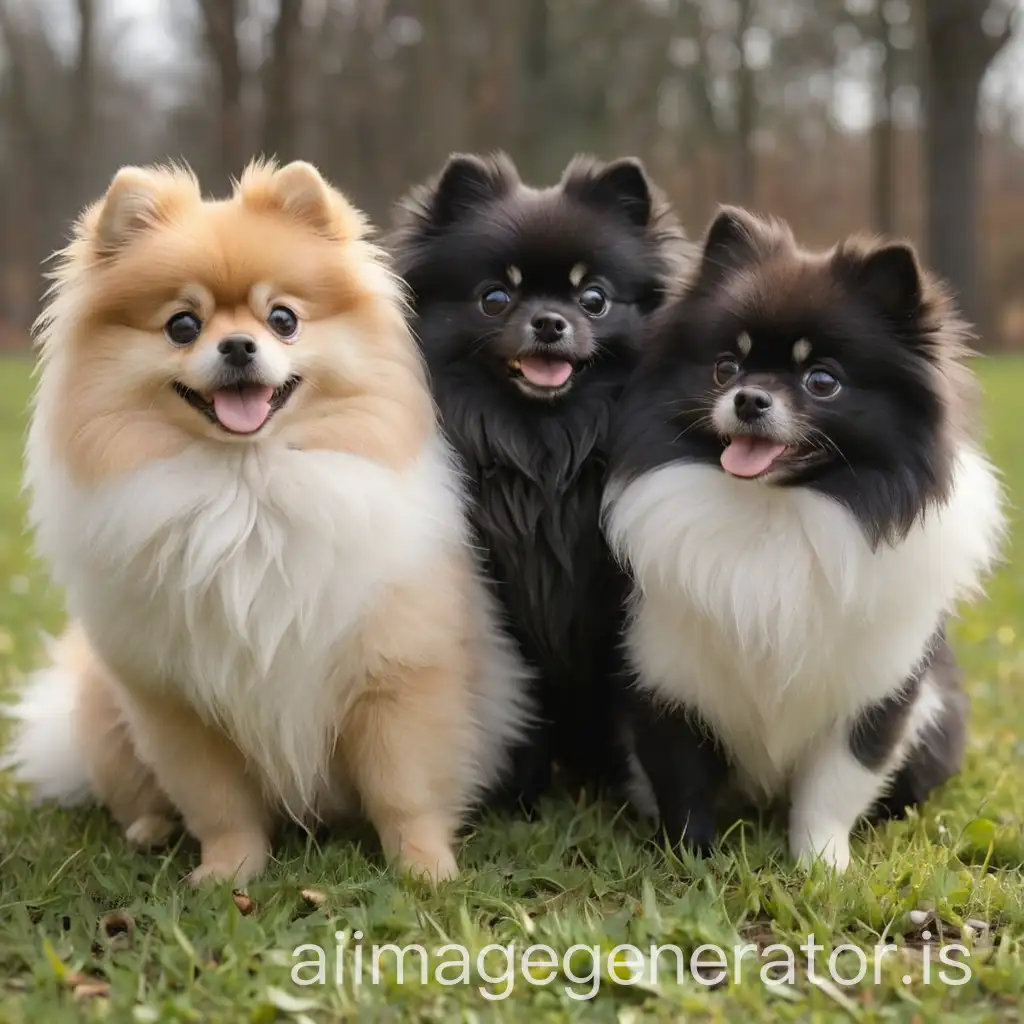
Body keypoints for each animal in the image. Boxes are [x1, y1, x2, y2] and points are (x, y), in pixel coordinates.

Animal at [2, 157, 528, 880]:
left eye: (283, 319)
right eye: (182, 326)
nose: (238, 346)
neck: (248, 490)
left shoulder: (396, 673)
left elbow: (404, 789)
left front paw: (426, 870)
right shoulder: (177, 703)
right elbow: (219, 804)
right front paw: (228, 874)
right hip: (107, 714)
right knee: (133, 792)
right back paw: (147, 831)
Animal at [387, 153, 692, 806]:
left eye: (594, 298)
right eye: (496, 297)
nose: (550, 321)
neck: (544, 451)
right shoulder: (506, 610)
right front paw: (520, 797)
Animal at [602, 209, 1003, 872]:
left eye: (822, 381)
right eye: (726, 368)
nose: (748, 398)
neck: (778, 512)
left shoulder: (873, 695)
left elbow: (833, 787)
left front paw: (823, 867)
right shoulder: (668, 678)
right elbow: (682, 781)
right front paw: (693, 860)